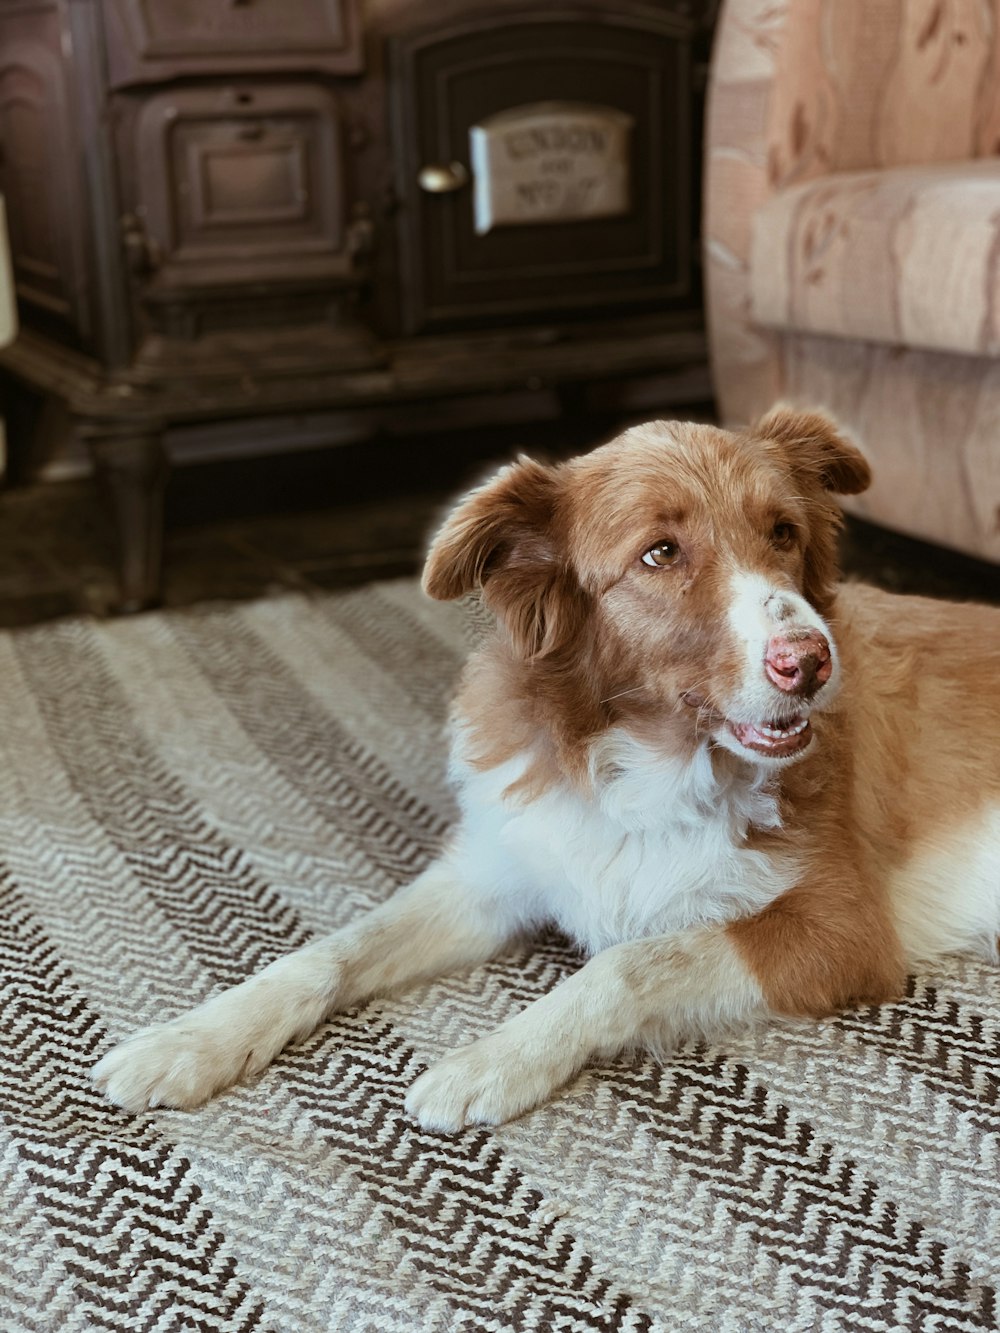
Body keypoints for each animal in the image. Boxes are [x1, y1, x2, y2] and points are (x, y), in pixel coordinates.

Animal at [94, 405, 1000, 1125]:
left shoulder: (843, 929)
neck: (642, 766)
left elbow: (625, 964)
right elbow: (332, 949)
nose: (811, 664)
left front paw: (488, 1060)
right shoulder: (496, 869)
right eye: (660, 553)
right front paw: (191, 1039)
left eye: (783, 533)